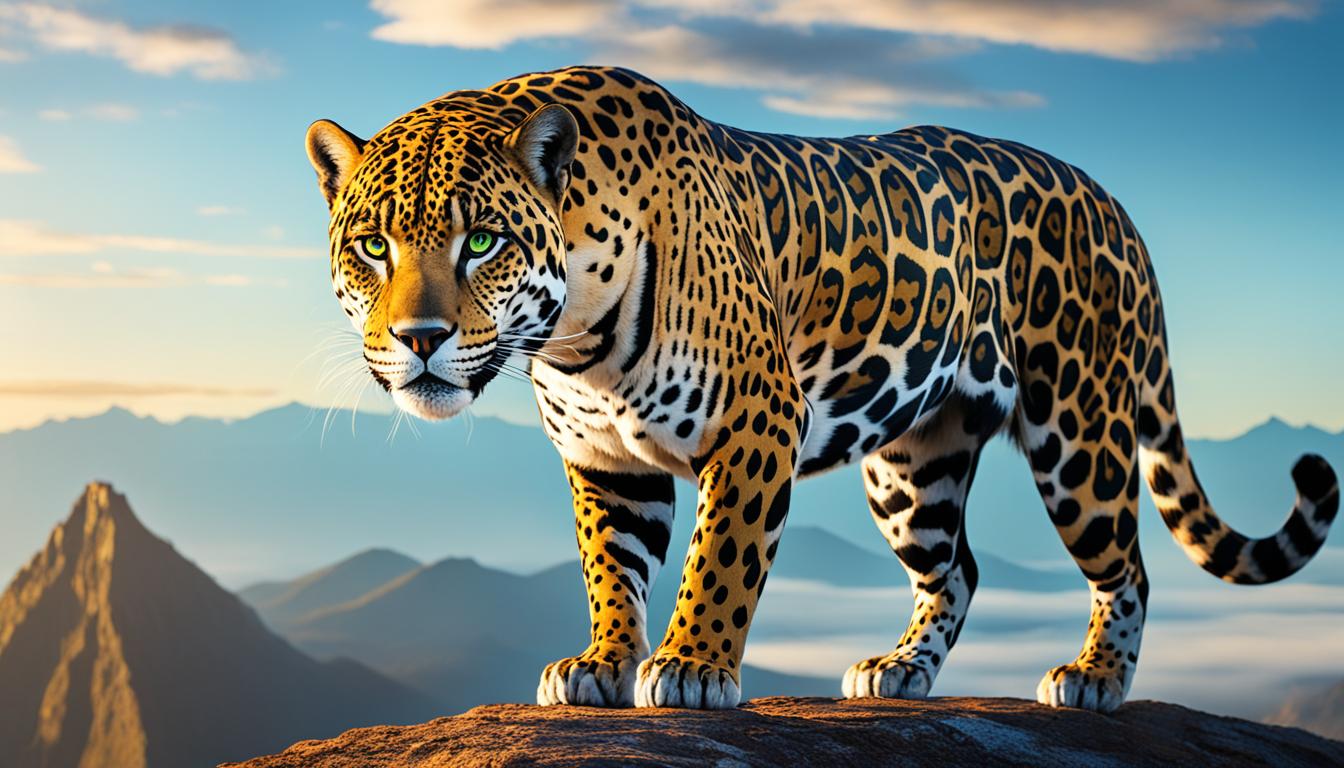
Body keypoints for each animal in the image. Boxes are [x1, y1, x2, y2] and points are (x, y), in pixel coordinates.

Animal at [303, 65, 1339, 713]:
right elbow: (612, 567)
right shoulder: (602, 456)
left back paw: (1094, 680)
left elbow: (720, 558)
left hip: (1078, 430)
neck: (570, 338)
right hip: (913, 466)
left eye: (482, 241)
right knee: (958, 568)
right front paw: (601, 664)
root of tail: (1115, 203)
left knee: (1126, 568)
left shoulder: (758, 421)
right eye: (372, 247)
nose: (419, 341)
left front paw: (690, 668)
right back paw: (900, 671)